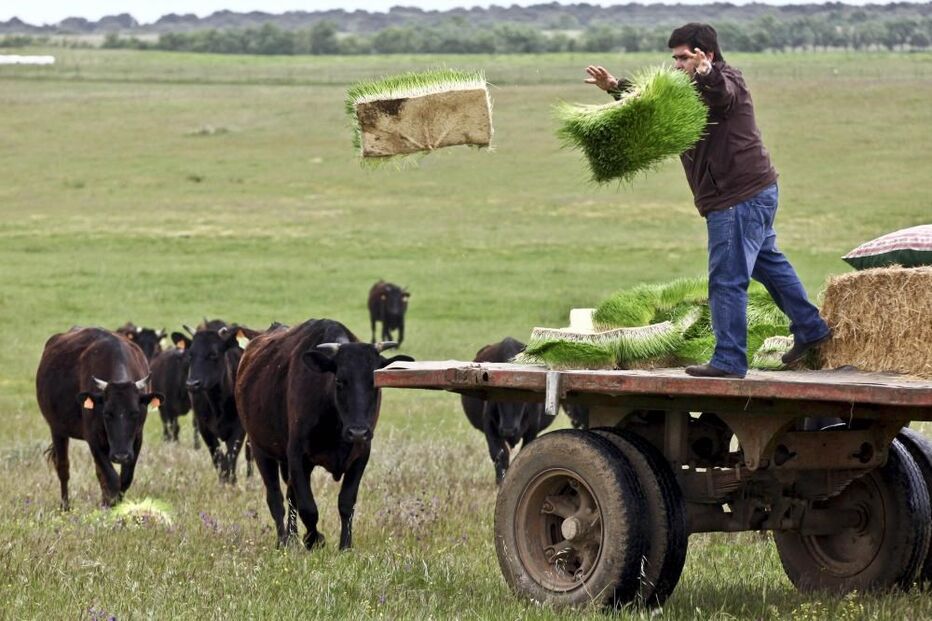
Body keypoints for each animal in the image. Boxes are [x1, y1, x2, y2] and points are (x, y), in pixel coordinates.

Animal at [36, 327, 162, 509]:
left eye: (135, 413)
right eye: (107, 413)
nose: (121, 456)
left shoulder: (137, 438)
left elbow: (124, 480)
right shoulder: (93, 438)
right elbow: (112, 480)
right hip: (57, 430)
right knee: (63, 468)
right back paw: (65, 507)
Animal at [184, 324, 257, 483]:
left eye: (213, 354)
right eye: (190, 355)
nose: (192, 384)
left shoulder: (239, 428)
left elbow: (231, 457)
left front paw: (231, 481)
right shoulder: (204, 428)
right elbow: (218, 458)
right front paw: (223, 482)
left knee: (250, 452)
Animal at [236, 319, 413, 550]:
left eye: (375, 383)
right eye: (339, 381)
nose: (358, 431)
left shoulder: (361, 454)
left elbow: (346, 502)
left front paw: (345, 545)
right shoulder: (297, 455)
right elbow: (308, 507)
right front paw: (314, 539)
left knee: (290, 496)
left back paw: (292, 538)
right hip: (261, 450)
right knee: (275, 499)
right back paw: (283, 540)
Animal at [461, 337, 554, 483]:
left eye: (523, 399)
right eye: (498, 397)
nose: (508, 430)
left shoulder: (532, 428)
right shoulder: (489, 426)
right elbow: (499, 455)